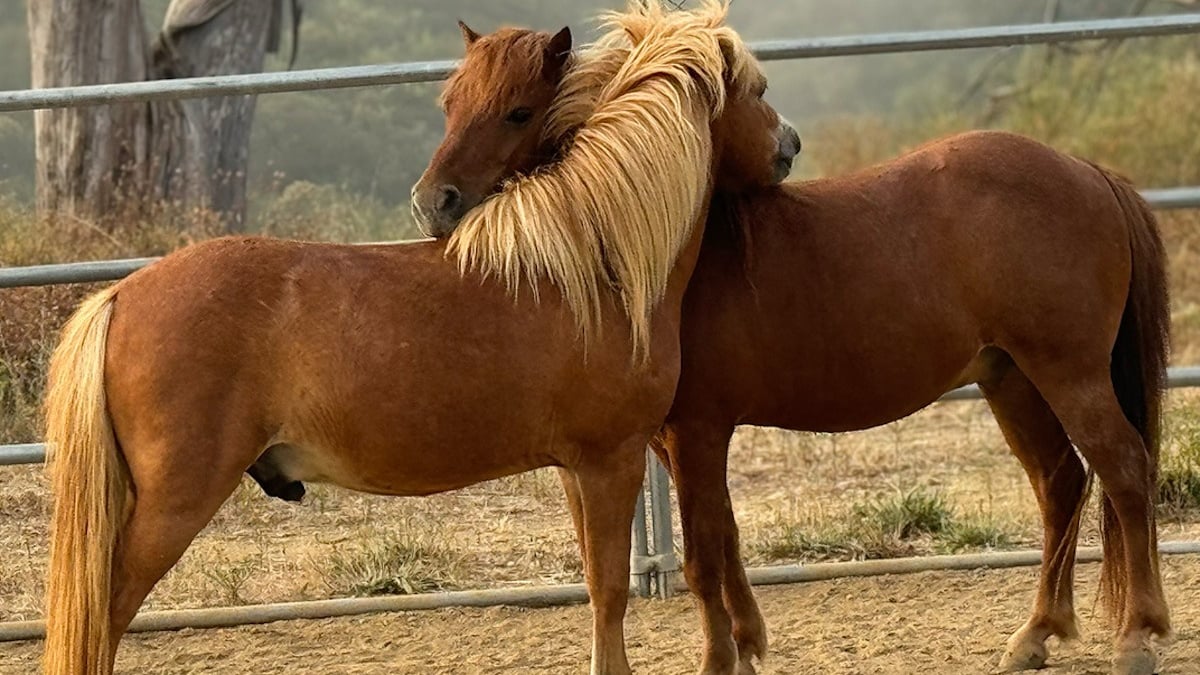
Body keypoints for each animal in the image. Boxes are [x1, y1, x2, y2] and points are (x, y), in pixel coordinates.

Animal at [39, 5, 796, 672]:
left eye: (518, 111)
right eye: (757, 91)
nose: (788, 144)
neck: (591, 259)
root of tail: (121, 294)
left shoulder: (576, 468)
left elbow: (593, 583)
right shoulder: (612, 460)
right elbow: (610, 595)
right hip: (172, 506)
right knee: (105, 613)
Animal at [412, 5, 1171, 672]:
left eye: (517, 111)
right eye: (449, 103)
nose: (432, 204)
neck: (660, 255)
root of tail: (1086, 171)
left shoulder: (696, 431)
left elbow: (703, 556)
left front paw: (718, 659)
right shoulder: (675, 441)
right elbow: (726, 539)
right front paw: (748, 645)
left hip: (1069, 372)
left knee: (1123, 469)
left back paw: (1137, 636)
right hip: (1008, 376)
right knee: (1060, 481)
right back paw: (1034, 636)